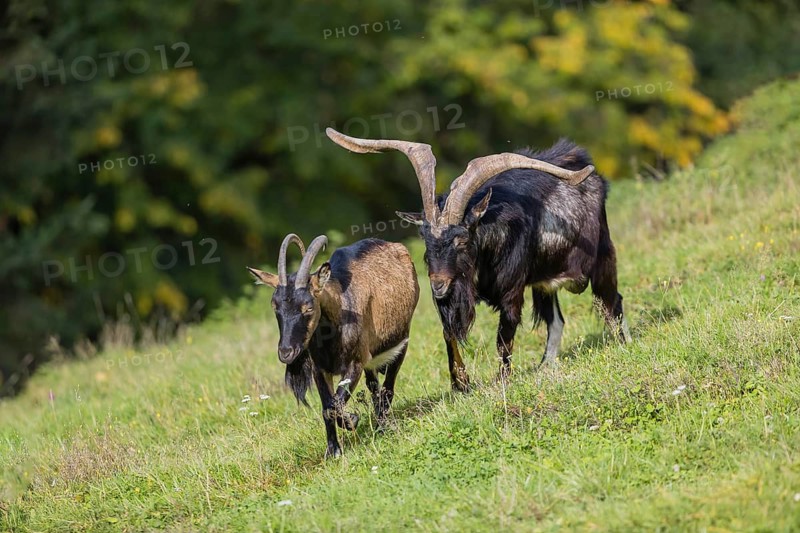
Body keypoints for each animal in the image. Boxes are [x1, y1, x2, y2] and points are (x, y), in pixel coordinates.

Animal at [247, 234, 419, 458]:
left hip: (401, 342)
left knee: (388, 388)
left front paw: (352, 420)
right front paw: (333, 450)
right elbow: (327, 406)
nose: (286, 352)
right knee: (373, 386)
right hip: (371, 360)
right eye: (275, 306)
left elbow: (335, 403)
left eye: (308, 307)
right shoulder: (320, 369)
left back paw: (383, 426)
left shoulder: (355, 364)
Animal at [327, 128, 630, 392]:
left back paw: (623, 344)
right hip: (544, 282)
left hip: (602, 258)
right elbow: (449, 334)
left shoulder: (512, 293)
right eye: (425, 238)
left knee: (612, 303)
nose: (437, 285)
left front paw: (502, 382)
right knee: (556, 320)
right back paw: (546, 366)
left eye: (462, 239)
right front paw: (460, 383)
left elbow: (504, 339)